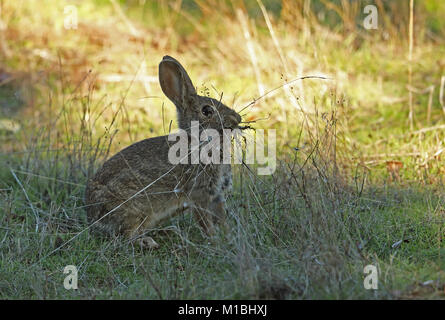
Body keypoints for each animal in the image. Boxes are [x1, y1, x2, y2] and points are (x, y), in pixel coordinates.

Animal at [84, 55, 241, 248]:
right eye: (206, 111)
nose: (237, 119)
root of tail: (92, 218)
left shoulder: (216, 197)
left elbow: (222, 220)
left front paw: (229, 237)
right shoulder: (199, 194)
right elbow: (205, 222)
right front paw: (215, 241)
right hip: (135, 209)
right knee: (126, 236)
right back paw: (148, 242)